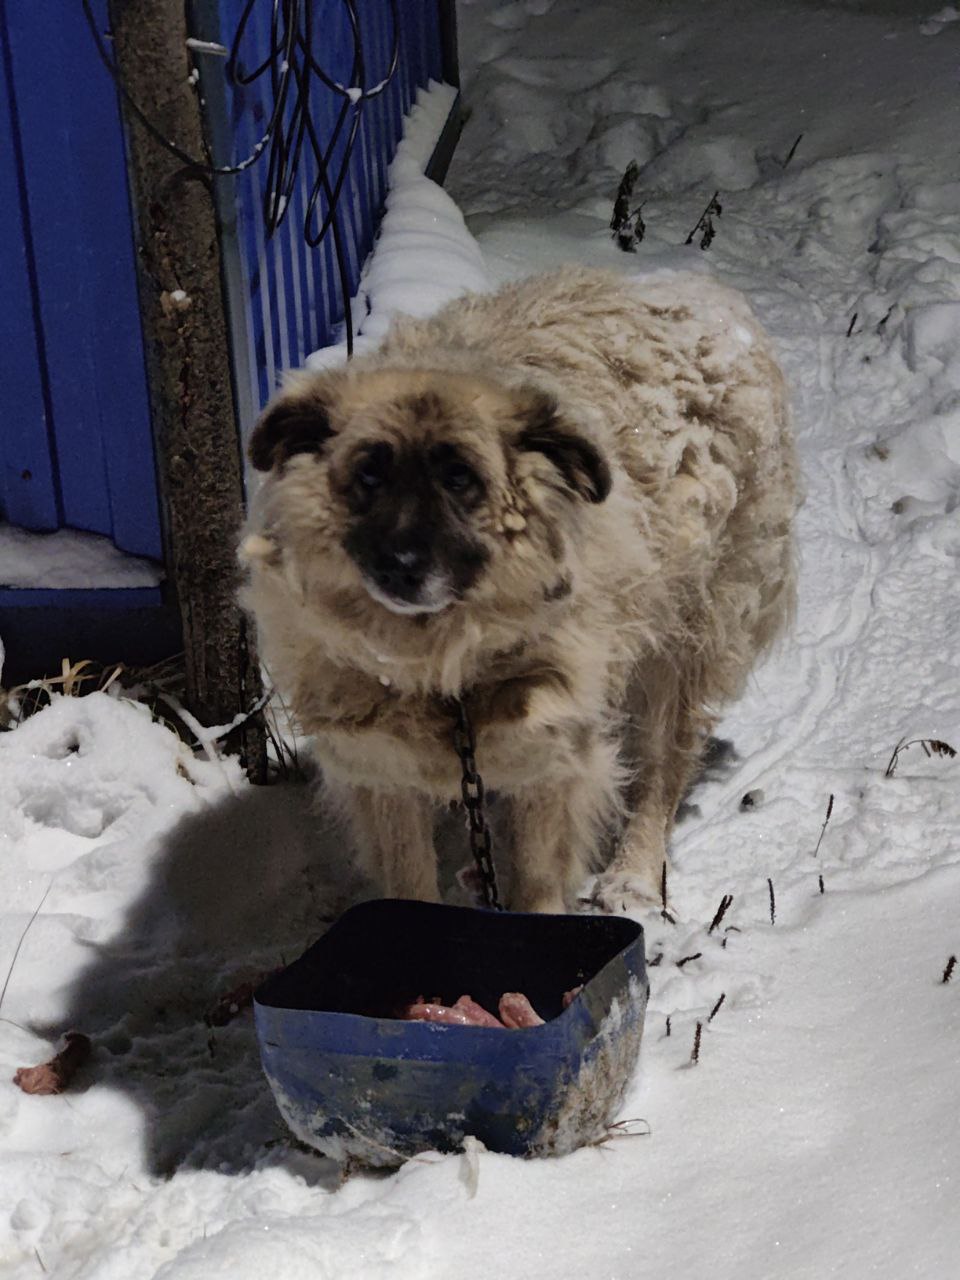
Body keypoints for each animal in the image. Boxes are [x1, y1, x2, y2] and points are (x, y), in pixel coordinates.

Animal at [240, 267, 798, 911]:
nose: (402, 567)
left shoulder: (550, 763)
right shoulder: (383, 771)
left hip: (686, 636)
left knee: (662, 767)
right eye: (369, 475)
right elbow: (410, 882)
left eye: (460, 479)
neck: (444, 668)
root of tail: (711, 293)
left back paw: (633, 876)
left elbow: (539, 884)